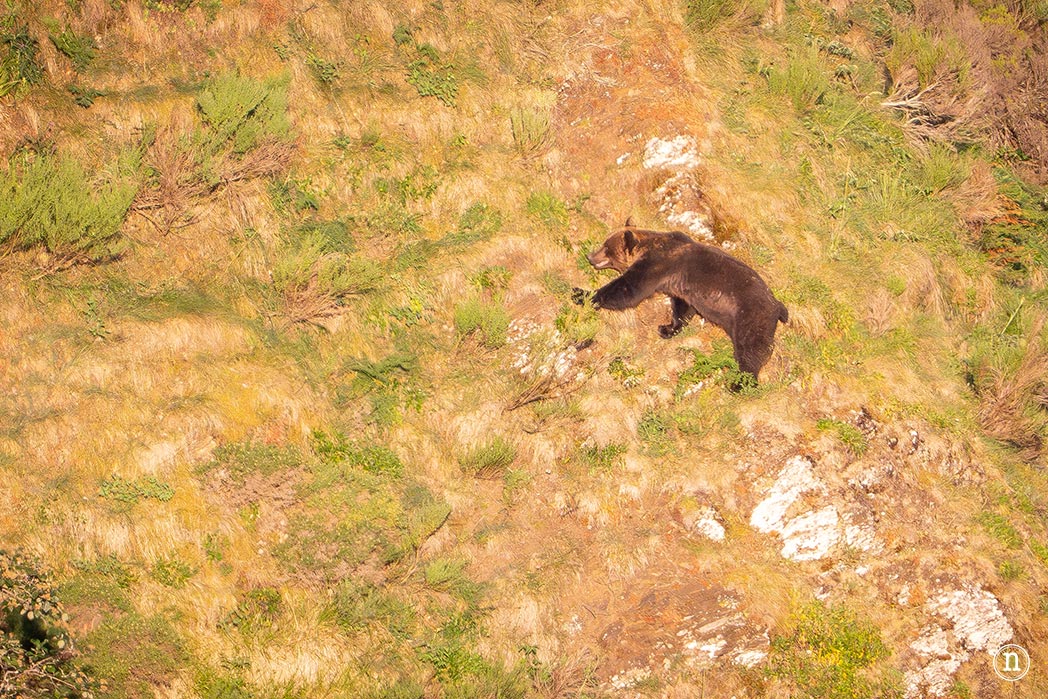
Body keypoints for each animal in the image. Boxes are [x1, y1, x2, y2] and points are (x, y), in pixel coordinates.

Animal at [576, 225, 788, 384]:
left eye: (606, 247)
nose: (590, 256)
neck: (649, 245)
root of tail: (778, 306)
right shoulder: (680, 286)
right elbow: (683, 308)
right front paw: (667, 328)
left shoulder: (658, 264)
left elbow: (629, 289)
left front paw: (581, 294)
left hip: (751, 316)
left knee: (751, 349)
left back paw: (740, 382)